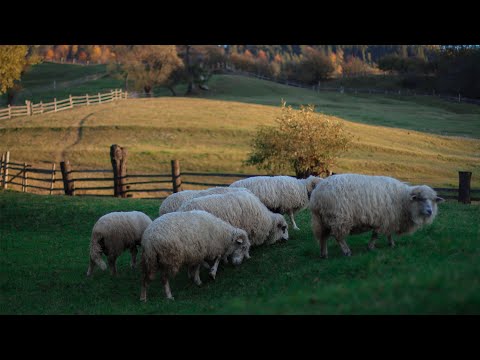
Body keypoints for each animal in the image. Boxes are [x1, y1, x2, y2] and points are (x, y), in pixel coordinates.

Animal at [310, 174, 444, 258]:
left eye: (433, 200)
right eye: (421, 199)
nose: (430, 211)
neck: (404, 199)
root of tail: (318, 191)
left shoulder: (390, 219)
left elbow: (388, 233)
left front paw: (391, 244)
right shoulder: (384, 219)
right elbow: (376, 234)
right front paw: (371, 247)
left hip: (322, 219)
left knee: (323, 237)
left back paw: (324, 254)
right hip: (339, 217)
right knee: (338, 237)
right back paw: (347, 251)